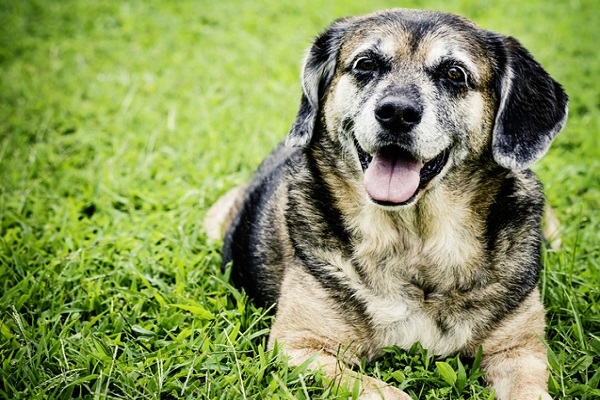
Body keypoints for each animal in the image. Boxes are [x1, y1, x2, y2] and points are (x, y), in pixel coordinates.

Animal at [205, 7, 568, 398]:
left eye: (454, 73)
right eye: (366, 64)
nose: (396, 112)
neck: (415, 243)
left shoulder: (520, 349)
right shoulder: (299, 347)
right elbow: (388, 391)